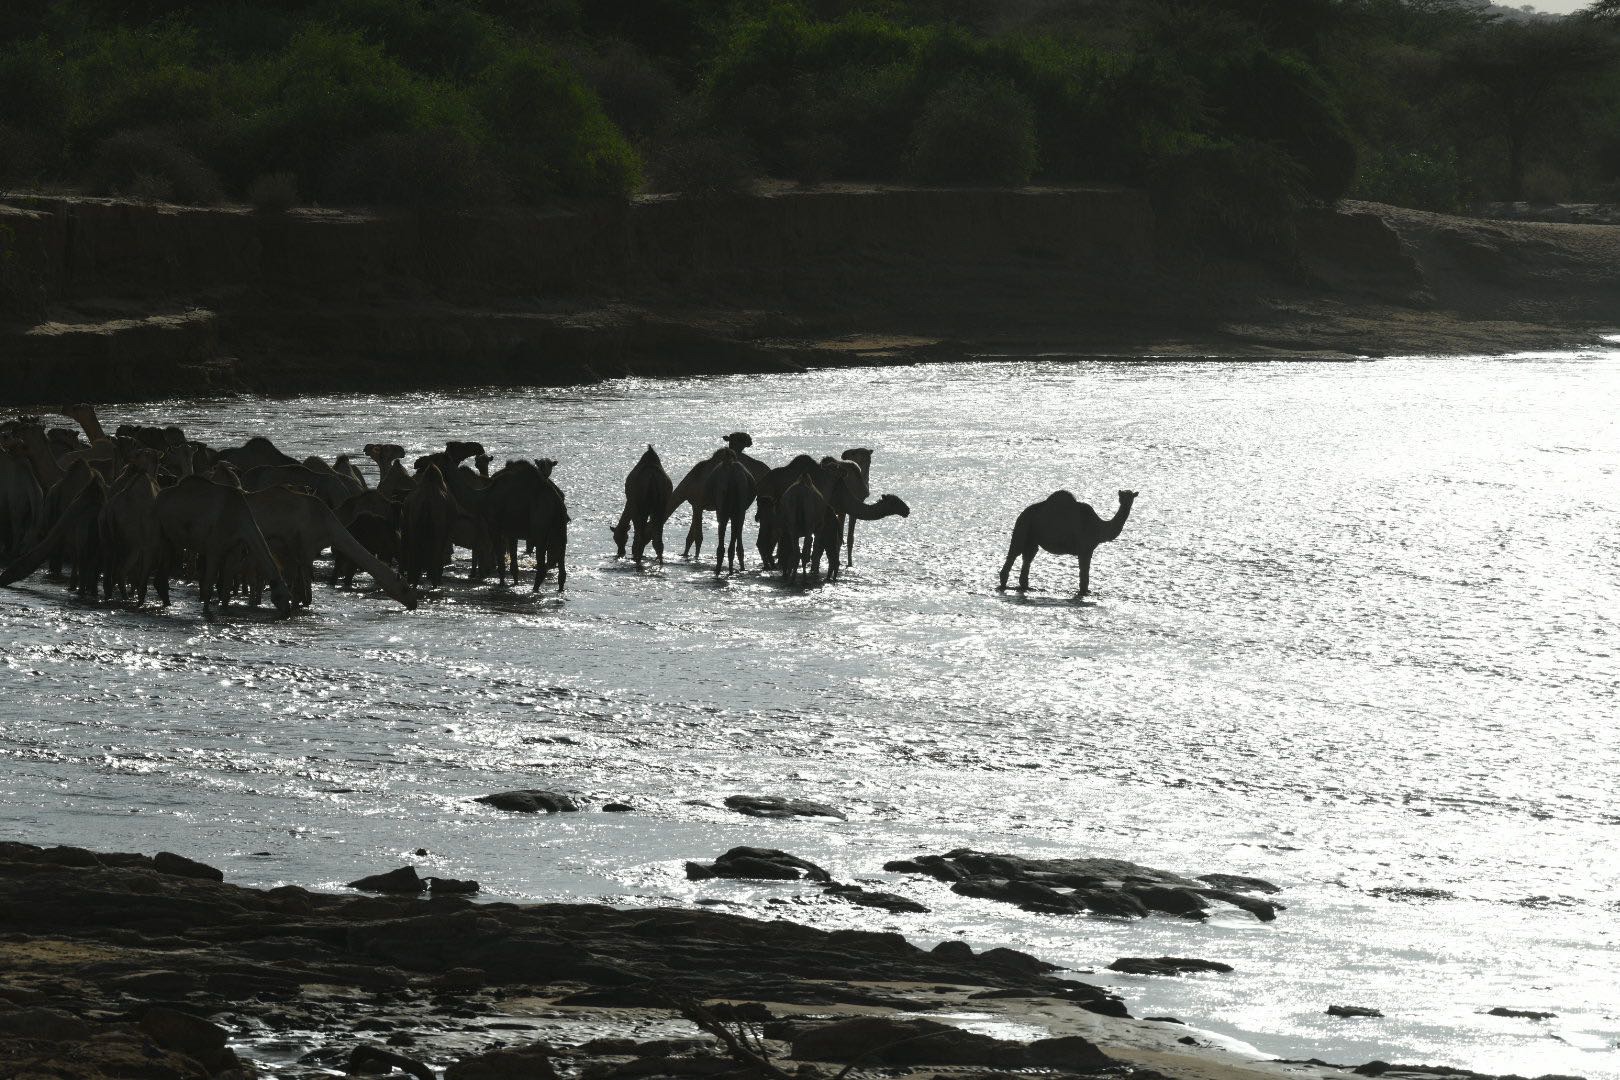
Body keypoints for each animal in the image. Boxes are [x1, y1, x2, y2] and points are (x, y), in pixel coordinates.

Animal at [997, 492, 1140, 595]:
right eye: (1122, 496)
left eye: (1131, 496)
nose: (1126, 502)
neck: (1099, 527)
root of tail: (1021, 514)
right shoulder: (1085, 549)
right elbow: (1084, 573)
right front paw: (1084, 591)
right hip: (1023, 528)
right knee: (1014, 552)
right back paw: (1003, 584)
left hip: (1032, 536)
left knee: (1028, 557)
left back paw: (1025, 586)